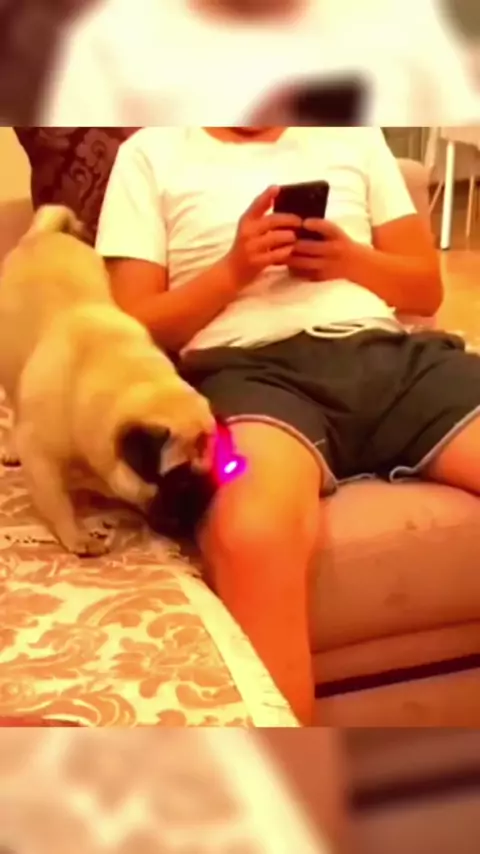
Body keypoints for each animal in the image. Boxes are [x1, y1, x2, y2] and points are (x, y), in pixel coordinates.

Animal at [0, 205, 216, 555]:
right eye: (179, 478)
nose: (203, 495)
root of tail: (42, 235)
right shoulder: (40, 457)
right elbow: (57, 503)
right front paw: (77, 536)